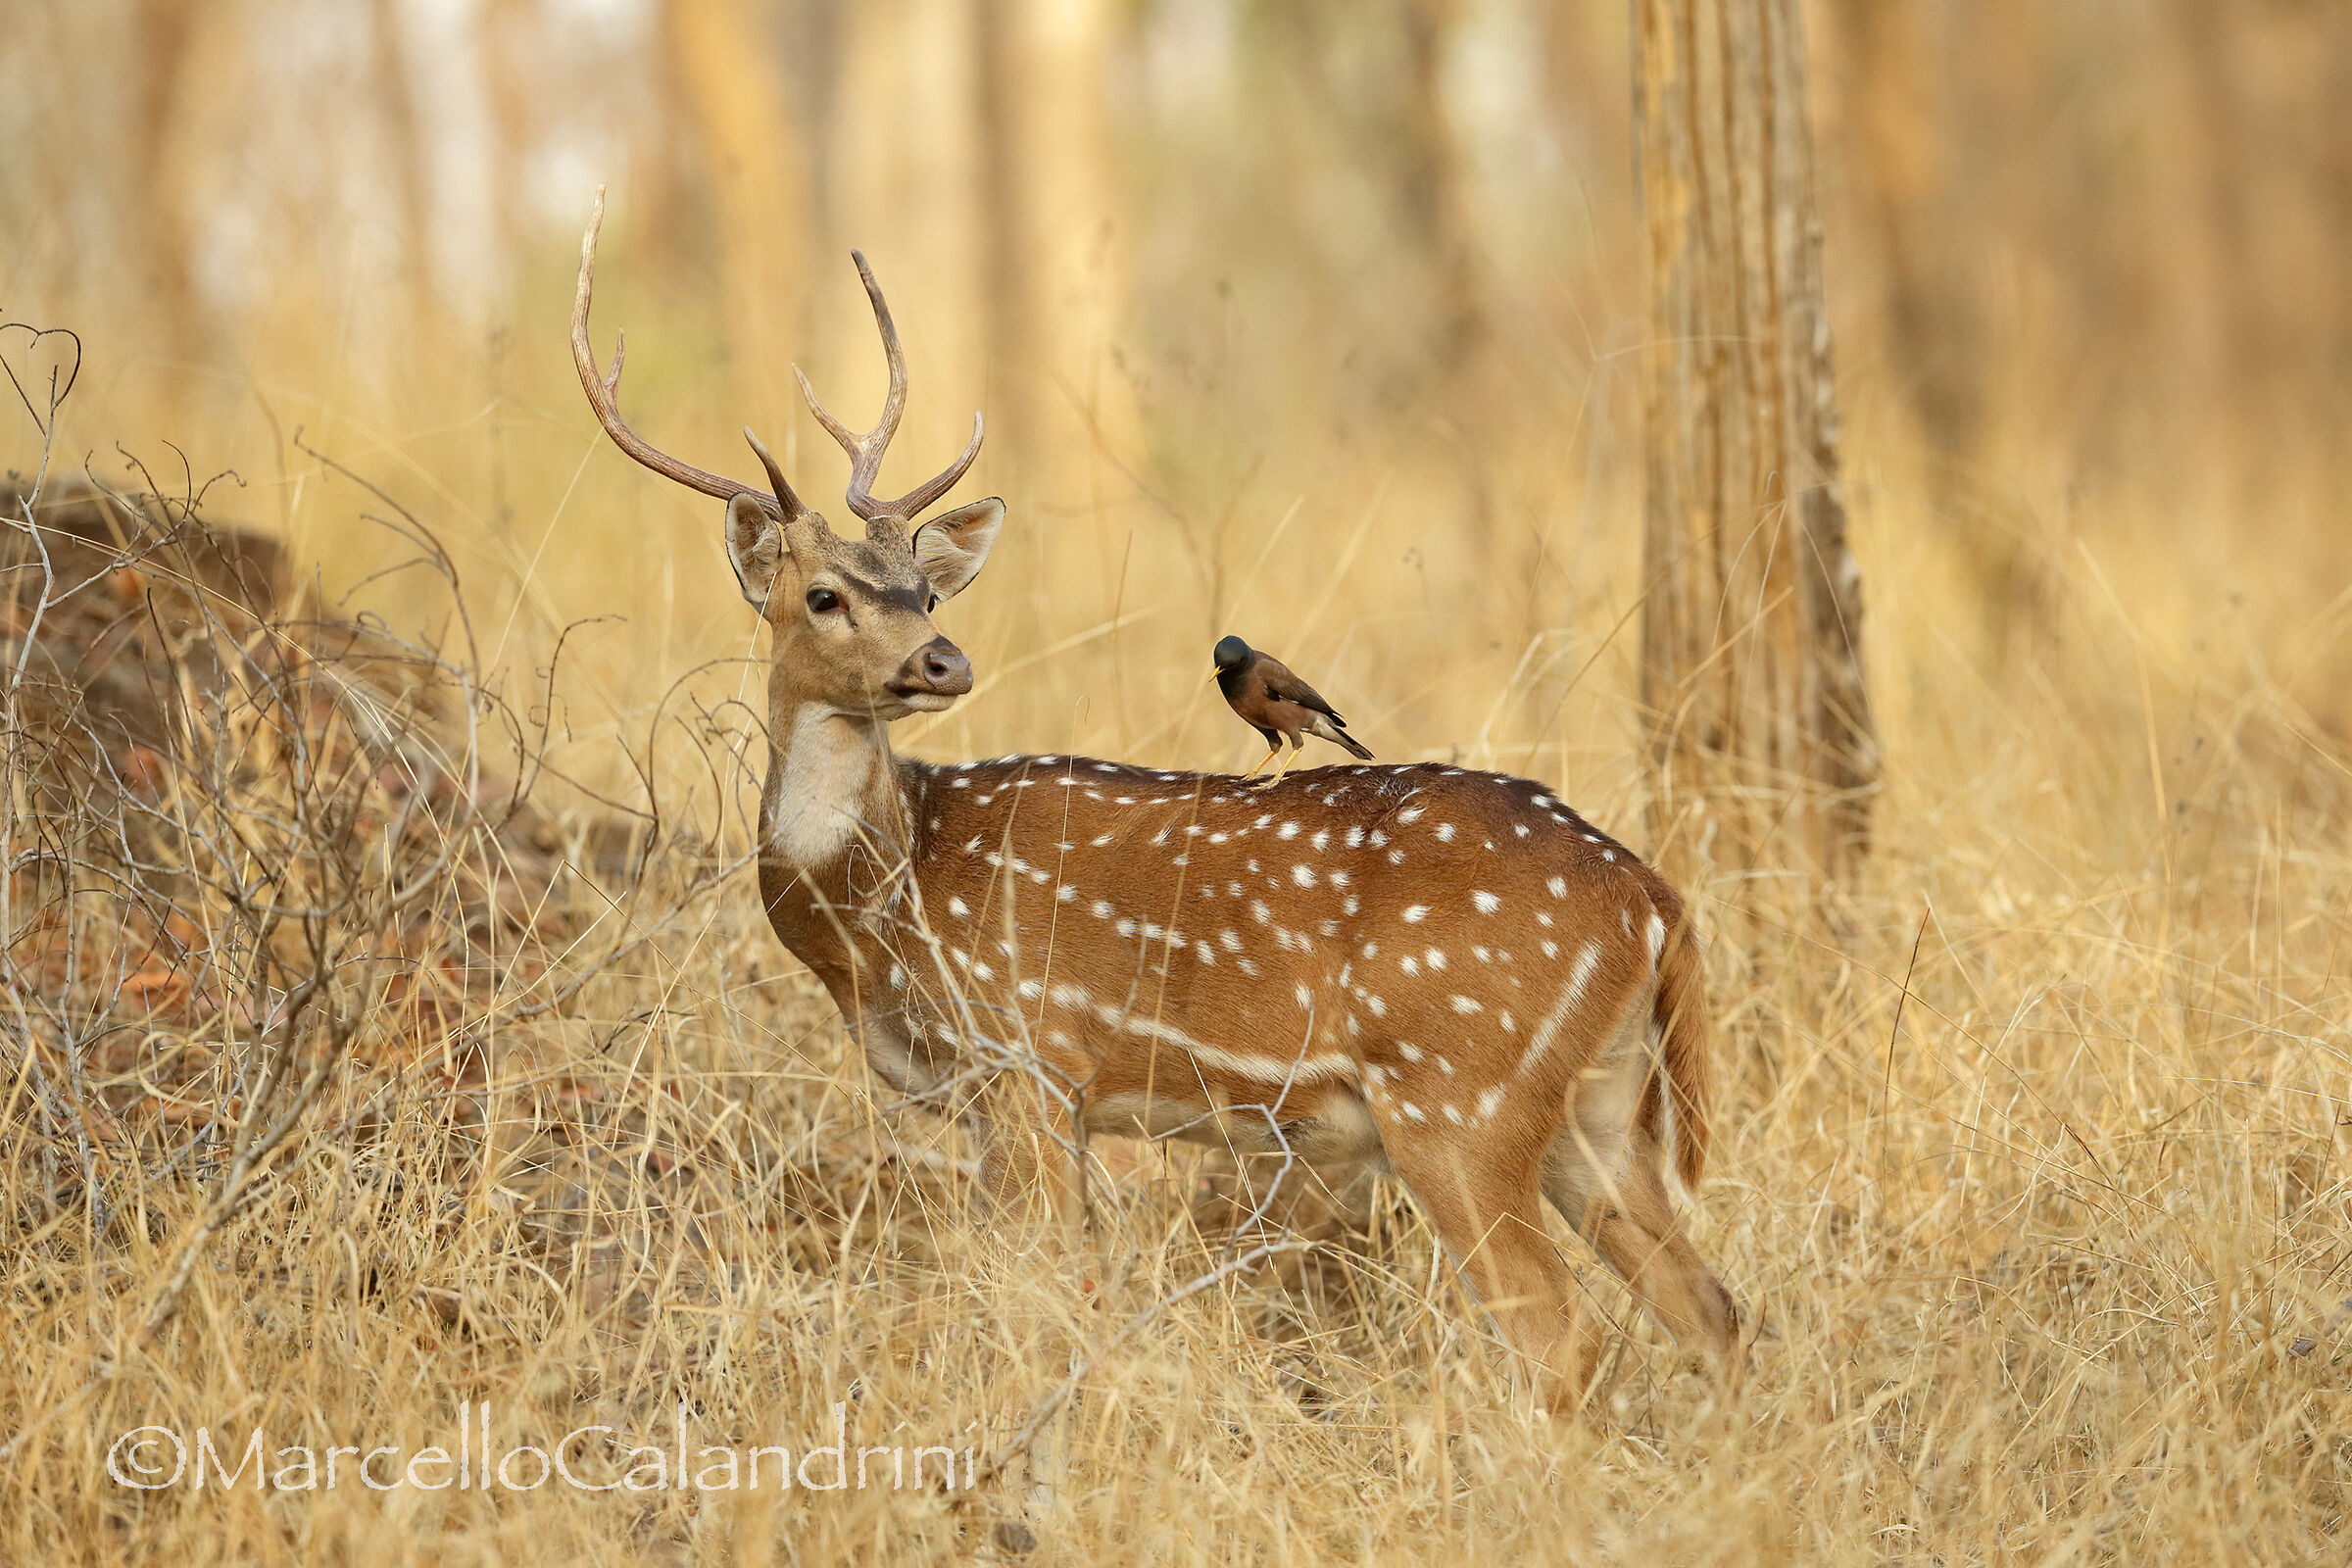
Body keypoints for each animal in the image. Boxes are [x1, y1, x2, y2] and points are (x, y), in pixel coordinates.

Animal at [570, 194, 1739, 1415]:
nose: (943, 659)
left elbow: (1045, 1303)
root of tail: (1653, 899)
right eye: (823, 594)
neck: (878, 915)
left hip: (1459, 1092)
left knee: (1562, 1330)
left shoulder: (1027, 1058)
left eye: (928, 588)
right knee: (1713, 1305)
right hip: (1599, 1102)